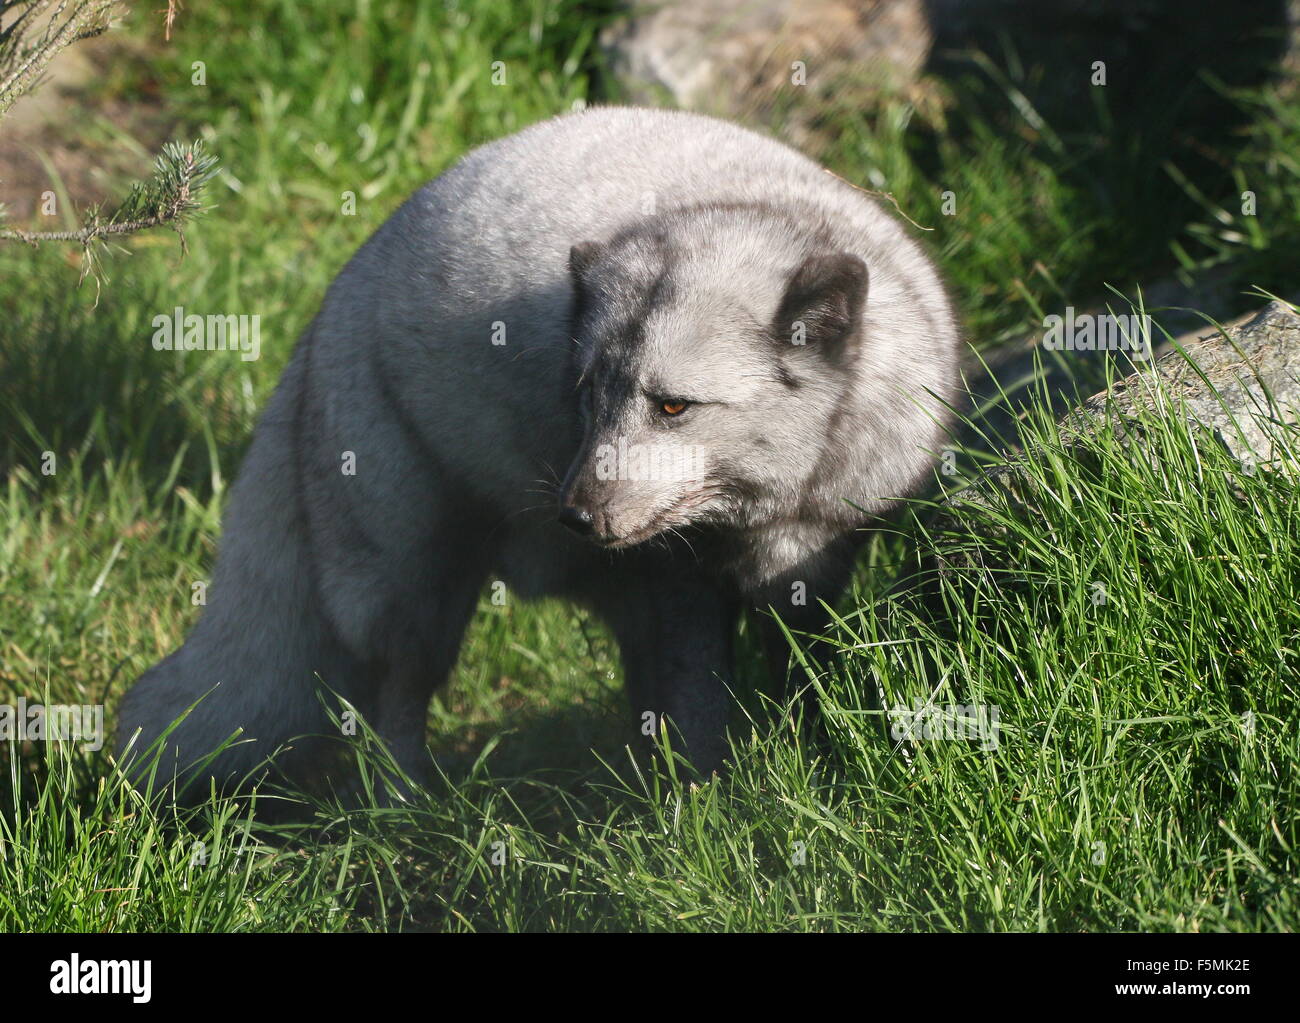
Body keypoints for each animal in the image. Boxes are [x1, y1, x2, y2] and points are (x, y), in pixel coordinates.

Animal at [116, 107, 961, 790]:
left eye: (673, 406)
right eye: (587, 395)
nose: (577, 516)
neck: (761, 515)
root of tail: (327, 312)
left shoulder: (817, 561)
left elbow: (793, 675)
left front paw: (795, 759)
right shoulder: (678, 580)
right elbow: (698, 704)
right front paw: (706, 799)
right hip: (412, 582)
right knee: (398, 697)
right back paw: (408, 805)